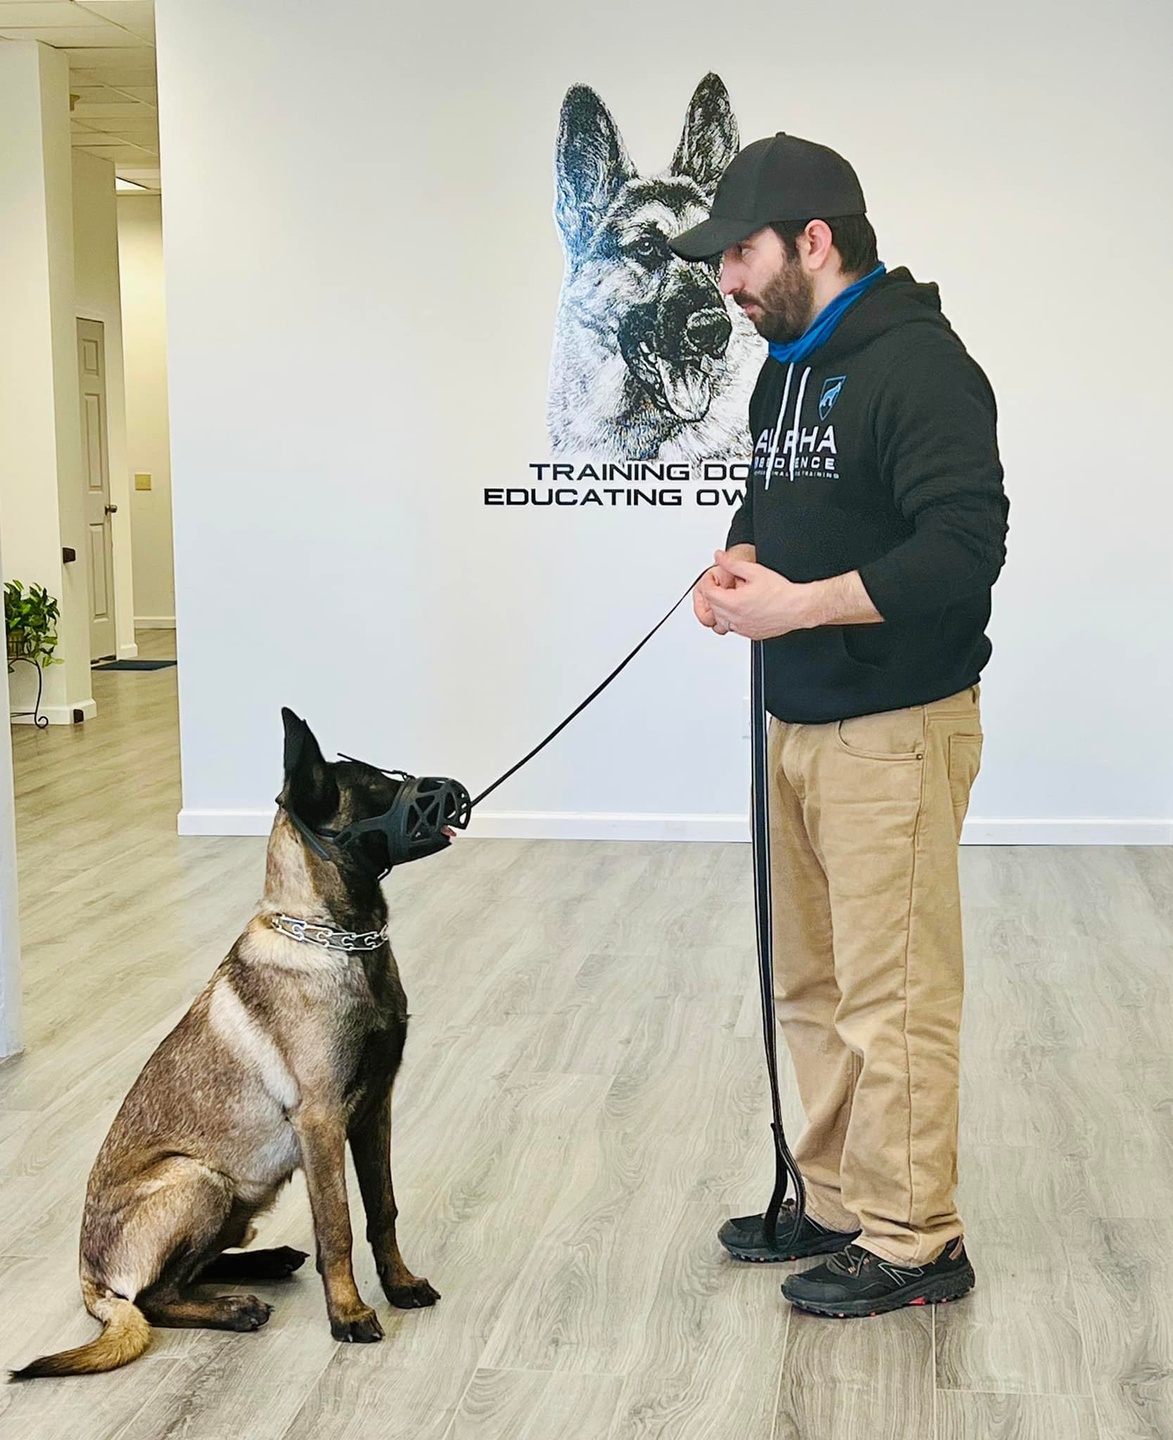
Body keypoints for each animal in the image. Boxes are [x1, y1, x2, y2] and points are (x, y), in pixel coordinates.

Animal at [11, 709, 439, 1380]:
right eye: (376, 784)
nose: (451, 789)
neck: (332, 937)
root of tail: (88, 1280)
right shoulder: (322, 1123)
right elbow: (339, 1228)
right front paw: (348, 1314)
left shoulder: (374, 1112)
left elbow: (382, 1210)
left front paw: (398, 1285)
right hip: (199, 1180)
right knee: (154, 1297)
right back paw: (235, 1308)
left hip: (237, 1201)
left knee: (191, 1272)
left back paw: (265, 1264)